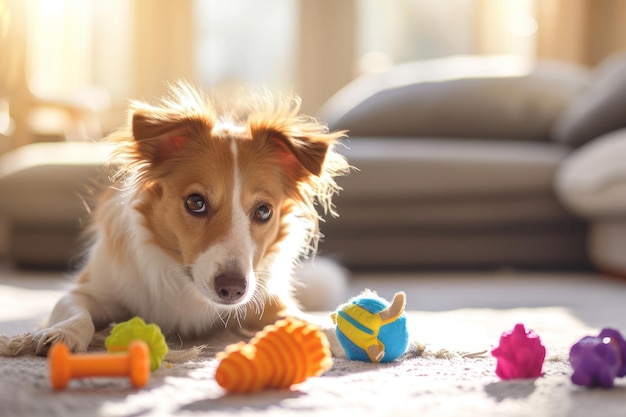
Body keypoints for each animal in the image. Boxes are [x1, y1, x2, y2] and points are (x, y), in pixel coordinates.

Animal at [0, 82, 348, 354]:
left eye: (263, 211)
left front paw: (337, 335)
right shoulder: (89, 288)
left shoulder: (267, 301)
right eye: (196, 202)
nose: (233, 289)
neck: (182, 280)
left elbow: (308, 320)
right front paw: (62, 333)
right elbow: (75, 312)